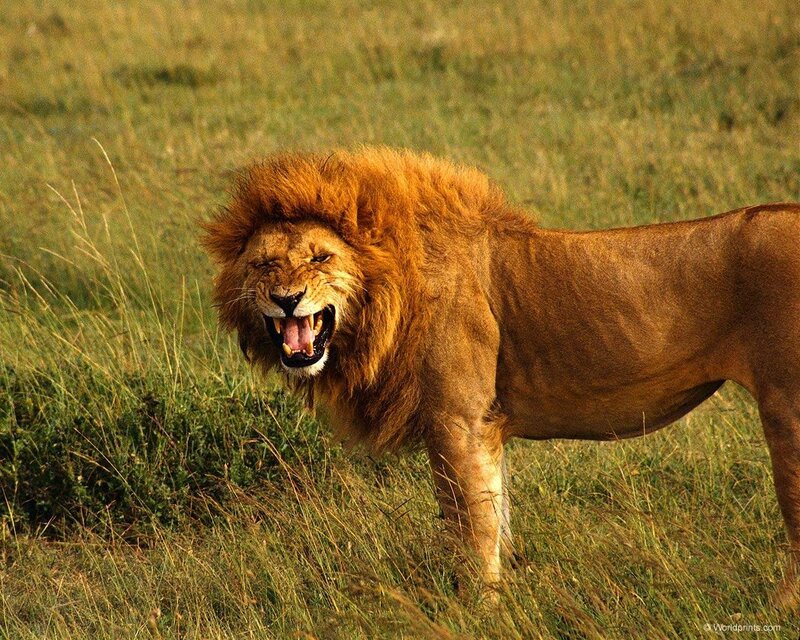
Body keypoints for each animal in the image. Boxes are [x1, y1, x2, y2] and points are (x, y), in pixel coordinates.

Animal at [202, 147, 800, 607]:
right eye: (264, 265)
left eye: (321, 258)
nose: (287, 299)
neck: (387, 297)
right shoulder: (485, 428)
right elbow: (497, 516)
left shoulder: (457, 422)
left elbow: (470, 528)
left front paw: (477, 610)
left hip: (787, 411)